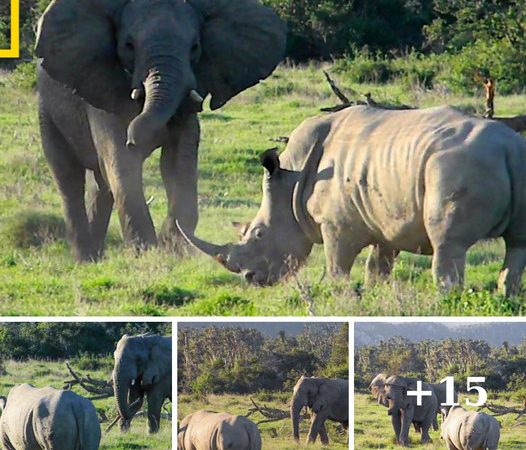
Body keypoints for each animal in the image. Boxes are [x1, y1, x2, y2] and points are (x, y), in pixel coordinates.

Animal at [35, 0, 286, 260]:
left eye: (195, 46)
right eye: (128, 45)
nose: (133, 139)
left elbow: (177, 162)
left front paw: (173, 247)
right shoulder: (103, 91)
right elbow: (121, 162)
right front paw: (145, 253)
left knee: (100, 183)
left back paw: (97, 257)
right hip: (46, 109)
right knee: (68, 176)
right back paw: (85, 259)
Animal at [179, 104, 526, 296]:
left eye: (259, 234)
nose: (251, 279)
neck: (290, 180)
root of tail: (507, 147)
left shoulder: (336, 224)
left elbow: (338, 264)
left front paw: (338, 296)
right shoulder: (386, 219)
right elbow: (378, 265)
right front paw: (375, 295)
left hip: (455, 165)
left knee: (448, 243)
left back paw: (445, 300)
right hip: (507, 161)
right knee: (517, 244)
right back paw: (505, 298)